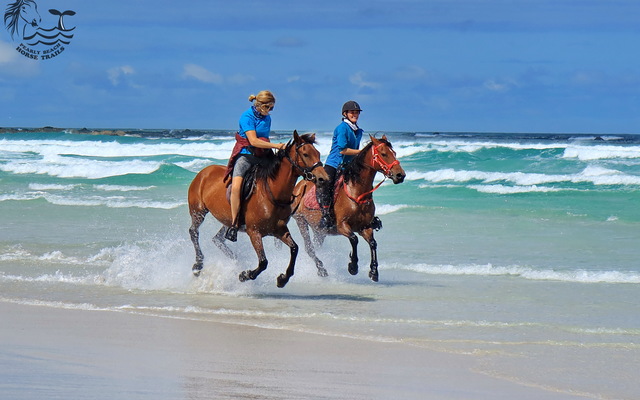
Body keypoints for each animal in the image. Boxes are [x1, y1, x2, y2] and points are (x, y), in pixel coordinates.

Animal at [188, 131, 329, 288]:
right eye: (305, 154)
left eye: (318, 153)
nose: (324, 178)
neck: (271, 193)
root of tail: (204, 172)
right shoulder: (254, 232)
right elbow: (263, 262)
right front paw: (244, 275)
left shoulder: (279, 230)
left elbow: (294, 249)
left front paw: (282, 279)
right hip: (198, 211)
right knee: (194, 232)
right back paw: (198, 265)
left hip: (226, 221)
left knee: (217, 239)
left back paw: (235, 262)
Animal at [291, 135, 405, 282]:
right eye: (383, 154)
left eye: (394, 153)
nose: (400, 175)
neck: (357, 193)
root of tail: (299, 185)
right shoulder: (342, 226)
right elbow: (354, 239)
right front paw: (353, 266)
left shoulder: (365, 227)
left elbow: (373, 243)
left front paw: (374, 272)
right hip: (301, 221)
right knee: (309, 248)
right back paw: (322, 270)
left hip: (319, 230)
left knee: (316, 245)